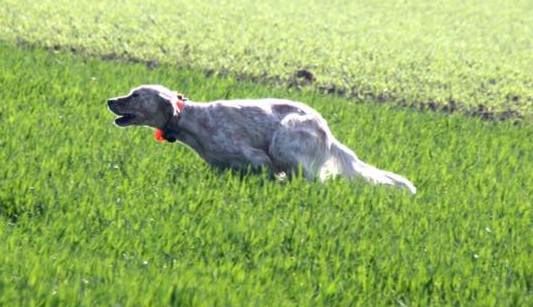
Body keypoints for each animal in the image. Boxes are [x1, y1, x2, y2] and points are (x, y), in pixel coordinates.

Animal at [107, 85, 416, 194]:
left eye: (135, 95)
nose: (110, 100)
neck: (191, 120)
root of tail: (327, 132)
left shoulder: (257, 158)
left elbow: (267, 171)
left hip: (285, 140)